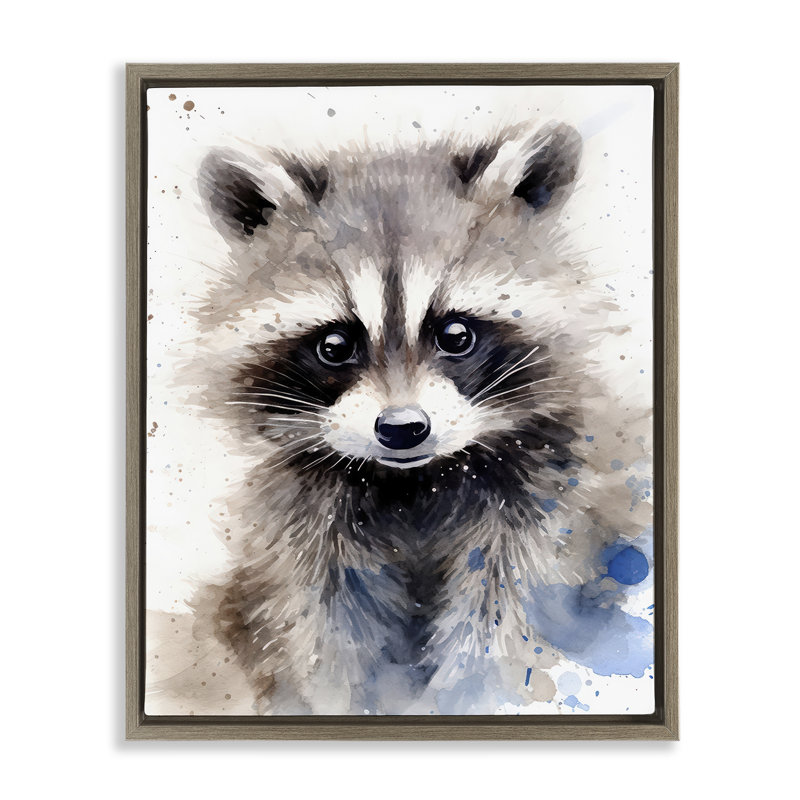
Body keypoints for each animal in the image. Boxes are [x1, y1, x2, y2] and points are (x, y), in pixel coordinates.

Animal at [186, 122, 653, 715]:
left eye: (456, 334)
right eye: (334, 345)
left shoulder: (548, 495)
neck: (414, 483)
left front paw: (470, 693)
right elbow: (326, 628)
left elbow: (504, 613)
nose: (402, 429)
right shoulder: (305, 524)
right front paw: (339, 697)